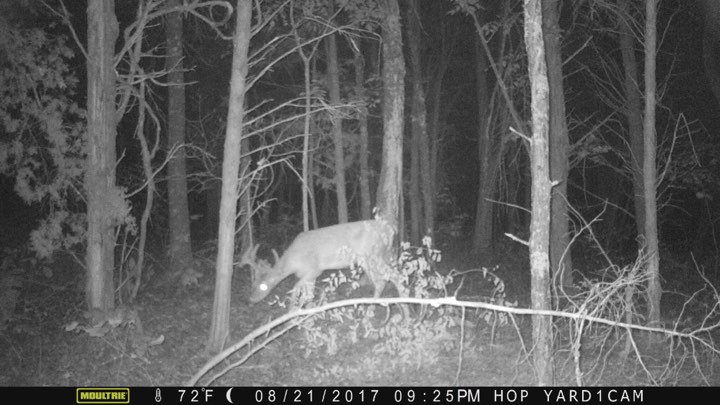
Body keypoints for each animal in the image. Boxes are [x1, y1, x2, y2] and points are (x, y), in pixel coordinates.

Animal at [241, 219, 397, 306]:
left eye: (263, 286)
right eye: (252, 283)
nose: (249, 301)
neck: (293, 261)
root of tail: (391, 229)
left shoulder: (314, 269)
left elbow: (295, 289)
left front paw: (291, 314)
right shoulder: (311, 276)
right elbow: (309, 295)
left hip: (372, 255)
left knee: (385, 278)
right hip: (376, 257)